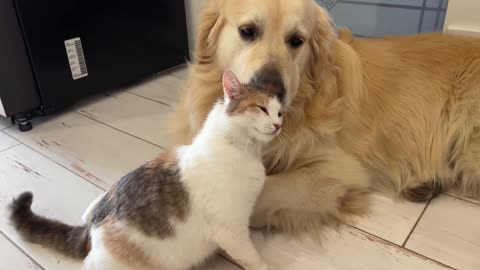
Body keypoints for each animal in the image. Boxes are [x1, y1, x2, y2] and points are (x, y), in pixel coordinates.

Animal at [7, 70, 284, 270]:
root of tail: (92, 230)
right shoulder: (231, 230)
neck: (242, 150)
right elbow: (251, 255)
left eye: (280, 112)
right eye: (261, 108)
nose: (278, 124)